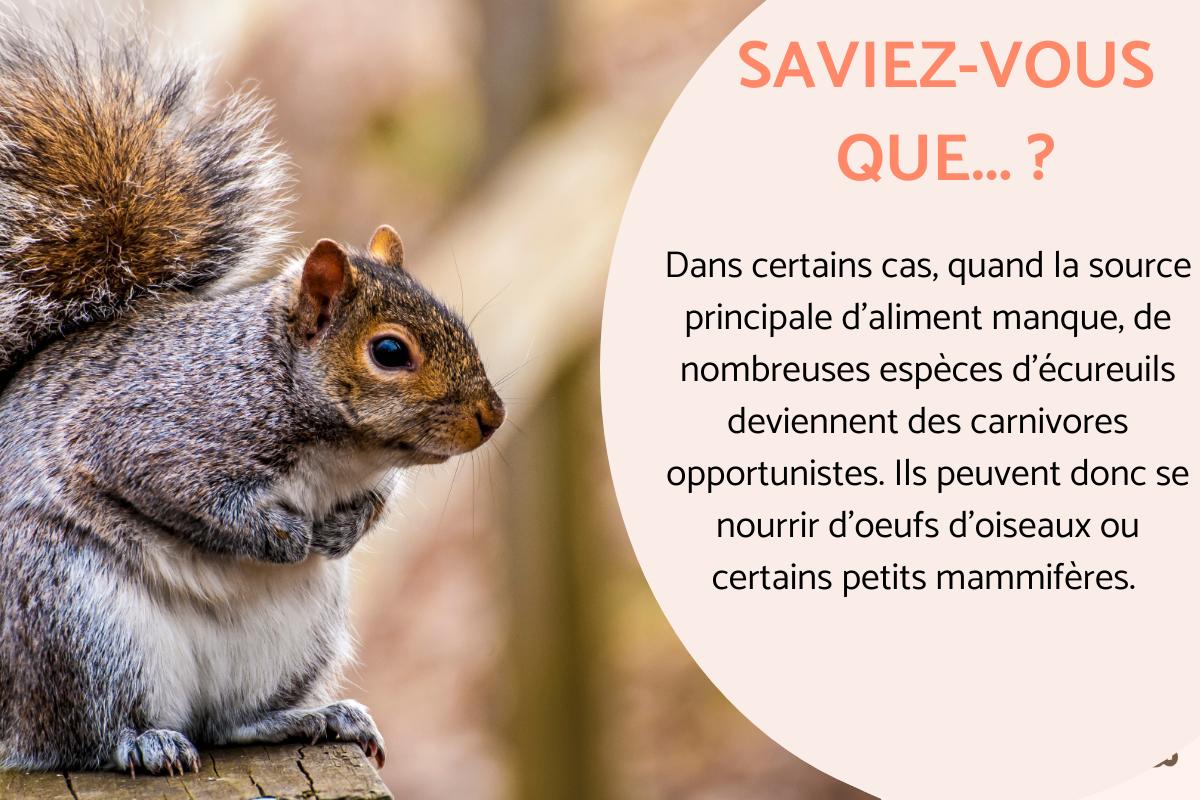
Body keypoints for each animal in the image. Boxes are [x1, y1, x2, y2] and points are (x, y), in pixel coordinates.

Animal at [0, 14, 504, 776]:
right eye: (390, 352)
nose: (491, 416)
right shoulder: (152, 429)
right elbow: (178, 490)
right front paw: (281, 532)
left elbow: (377, 502)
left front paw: (343, 528)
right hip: (73, 616)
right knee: (84, 733)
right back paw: (143, 741)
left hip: (295, 637)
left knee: (229, 722)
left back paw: (316, 717)